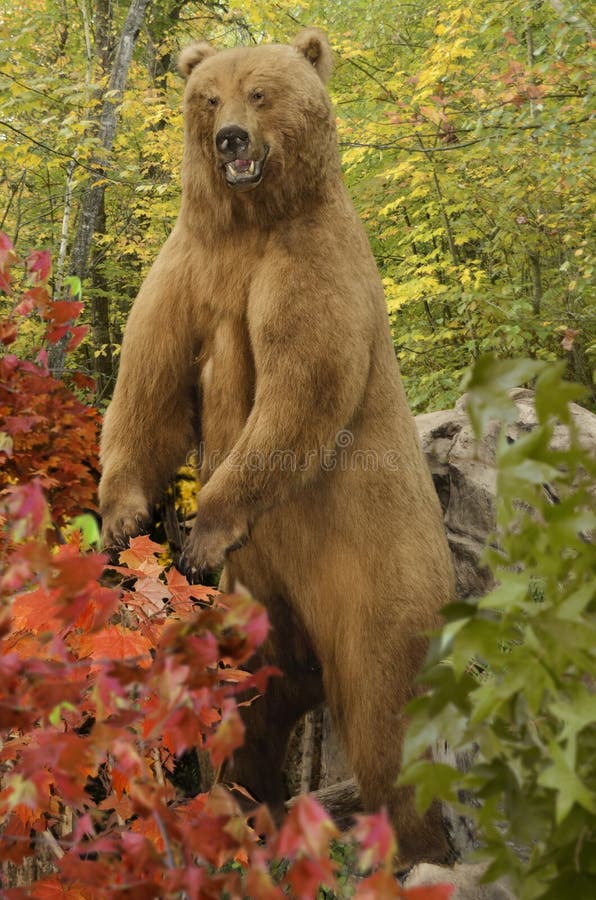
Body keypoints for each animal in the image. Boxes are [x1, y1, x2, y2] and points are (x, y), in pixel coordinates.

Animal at [100, 26, 454, 856]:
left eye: (260, 92)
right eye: (208, 97)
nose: (229, 138)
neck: (249, 220)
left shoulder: (310, 270)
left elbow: (300, 393)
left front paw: (204, 527)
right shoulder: (190, 268)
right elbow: (148, 385)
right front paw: (123, 515)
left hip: (379, 580)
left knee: (391, 718)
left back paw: (418, 847)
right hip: (255, 611)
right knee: (247, 713)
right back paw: (240, 812)